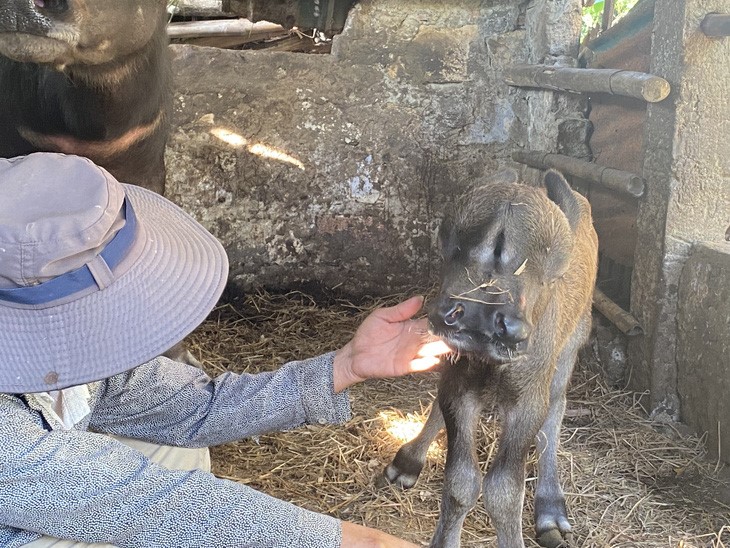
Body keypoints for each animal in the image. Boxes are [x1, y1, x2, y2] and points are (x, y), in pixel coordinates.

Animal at [384, 171, 596, 548]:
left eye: (551, 273)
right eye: (451, 248)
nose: (483, 316)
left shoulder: (527, 401)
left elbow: (503, 490)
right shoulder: (459, 383)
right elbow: (460, 482)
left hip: (570, 347)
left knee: (556, 409)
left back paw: (551, 509)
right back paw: (408, 461)